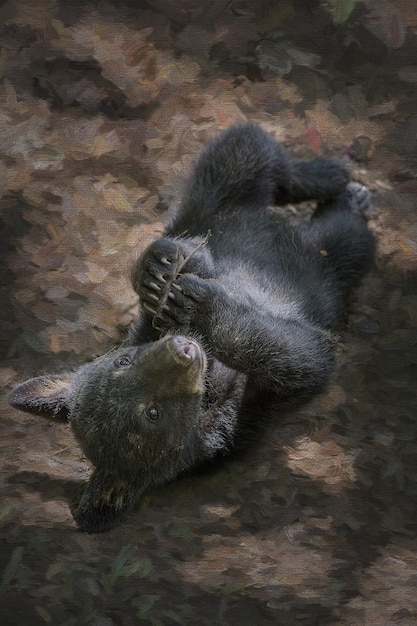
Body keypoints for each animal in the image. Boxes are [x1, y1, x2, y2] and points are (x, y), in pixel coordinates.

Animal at [9, 124, 374, 528]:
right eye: (153, 414)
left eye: (122, 362)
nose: (182, 348)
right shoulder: (249, 409)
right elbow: (295, 356)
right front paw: (203, 308)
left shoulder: (152, 326)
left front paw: (160, 273)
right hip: (328, 264)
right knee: (343, 236)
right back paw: (350, 200)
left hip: (219, 200)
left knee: (246, 154)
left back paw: (329, 174)